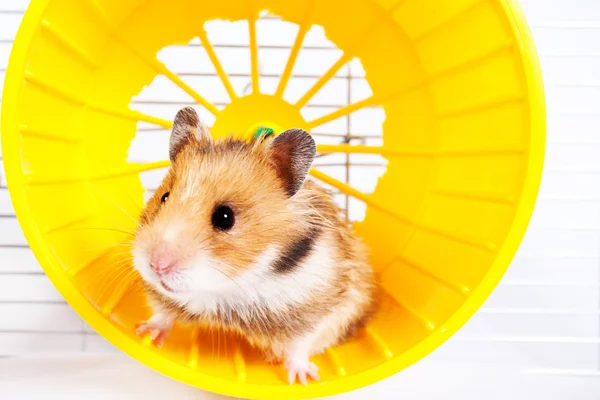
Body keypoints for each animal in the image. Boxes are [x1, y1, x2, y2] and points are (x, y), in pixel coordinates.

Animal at [134, 105, 378, 384]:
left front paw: (302, 379)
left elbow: (301, 344)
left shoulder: (319, 308)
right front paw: (144, 333)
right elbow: (162, 314)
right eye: (164, 197)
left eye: (225, 217)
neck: (229, 285)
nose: (156, 265)